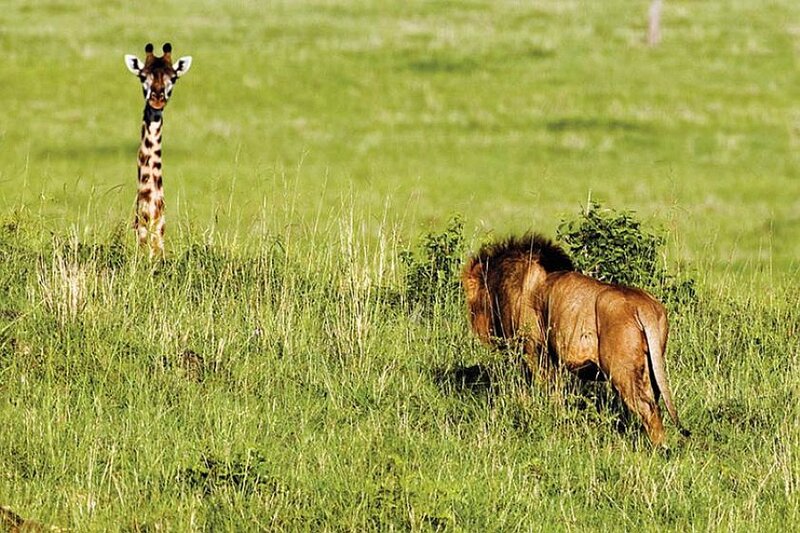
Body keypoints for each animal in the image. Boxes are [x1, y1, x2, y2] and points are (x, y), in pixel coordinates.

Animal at [462, 233, 688, 445]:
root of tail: (644, 307)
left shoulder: (534, 349)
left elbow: (545, 387)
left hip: (621, 369)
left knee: (647, 407)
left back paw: (659, 448)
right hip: (649, 366)